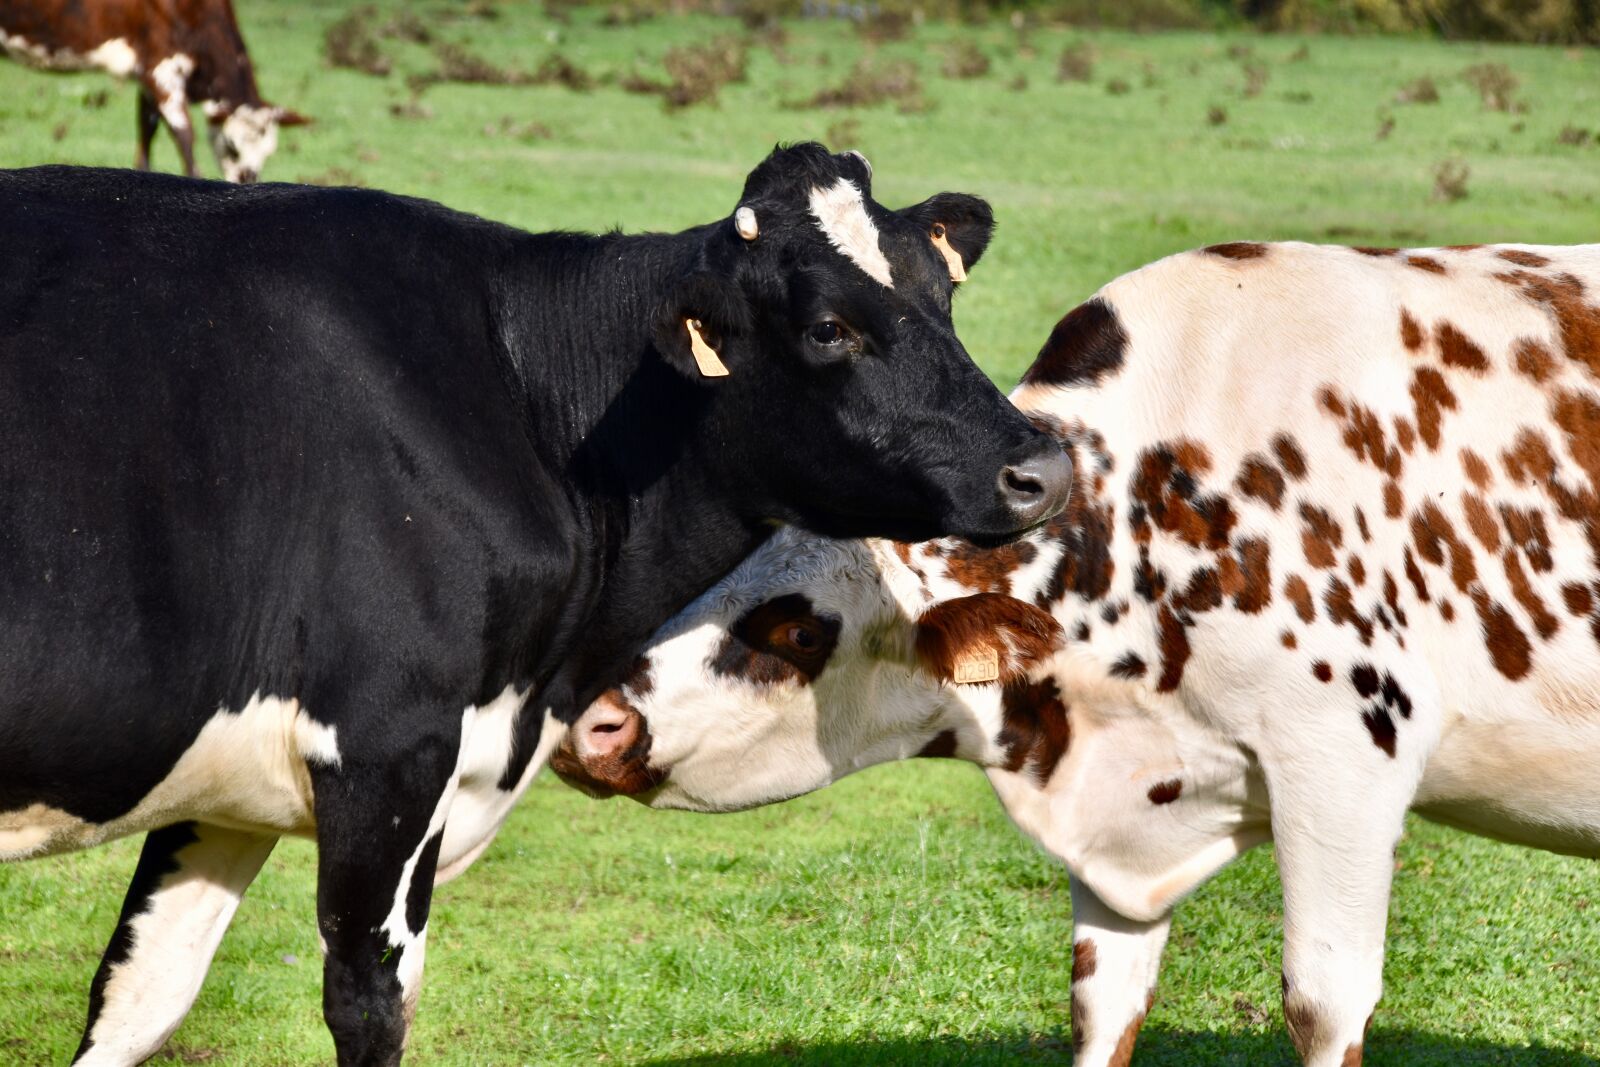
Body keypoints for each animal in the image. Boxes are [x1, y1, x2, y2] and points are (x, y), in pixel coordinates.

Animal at [0, 0, 307, 182]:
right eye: (232, 147)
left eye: (268, 151)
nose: (247, 180)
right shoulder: (161, 66)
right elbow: (185, 138)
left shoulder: (147, 74)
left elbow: (146, 131)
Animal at [0, 145, 1073, 1067]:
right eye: (825, 328)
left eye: (944, 294)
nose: (1043, 466)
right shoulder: (388, 748)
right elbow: (370, 1002)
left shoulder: (231, 777)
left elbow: (137, 999)